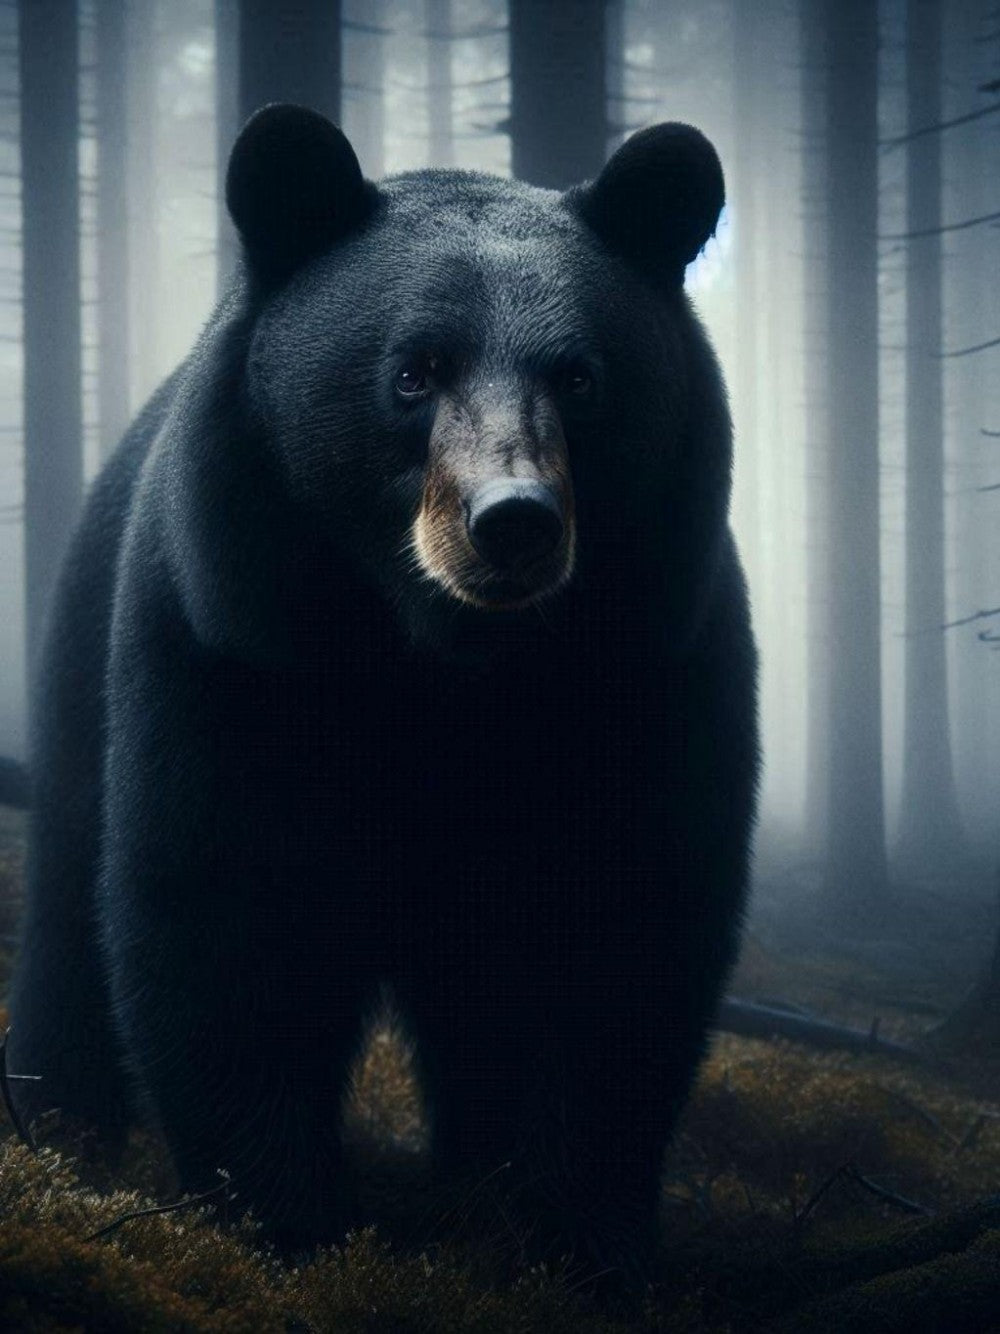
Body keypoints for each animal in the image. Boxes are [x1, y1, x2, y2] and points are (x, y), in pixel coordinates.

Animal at [7, 104, 758, 1285]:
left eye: (580, 378)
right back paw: (62, 1131)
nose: (513, 521)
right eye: (415, 371)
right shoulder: (237, 645)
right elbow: (230, 912)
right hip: (83, 671)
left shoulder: (654, 663)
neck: (447, 666)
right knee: (67, 919)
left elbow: (627, 927)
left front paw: (572, 1233)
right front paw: (284, 1219)